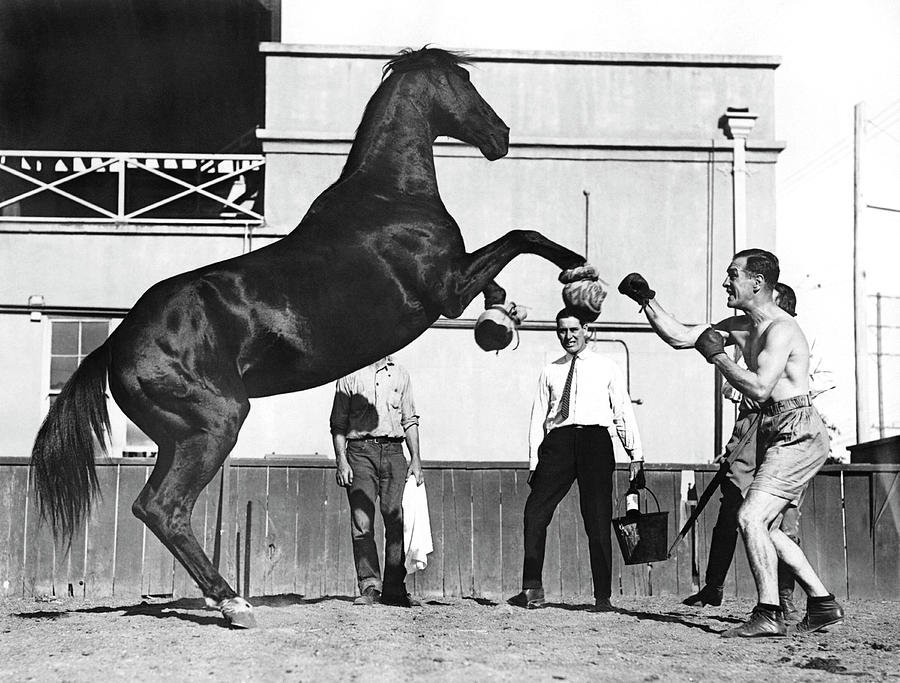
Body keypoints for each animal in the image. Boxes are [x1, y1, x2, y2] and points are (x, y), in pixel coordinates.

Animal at [29, 45, 584, 628]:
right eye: (464, 82)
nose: (501, 135)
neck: (389, 197)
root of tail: (117, 342)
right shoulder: (447, 291)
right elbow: (521, 236)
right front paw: (578, 272)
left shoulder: (455, 284)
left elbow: (500, 272)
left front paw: (503, 316)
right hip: (214, 426)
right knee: (164, 508)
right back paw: (233, 602)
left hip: (176, 438)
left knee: (153, 507)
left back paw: (222, 597)